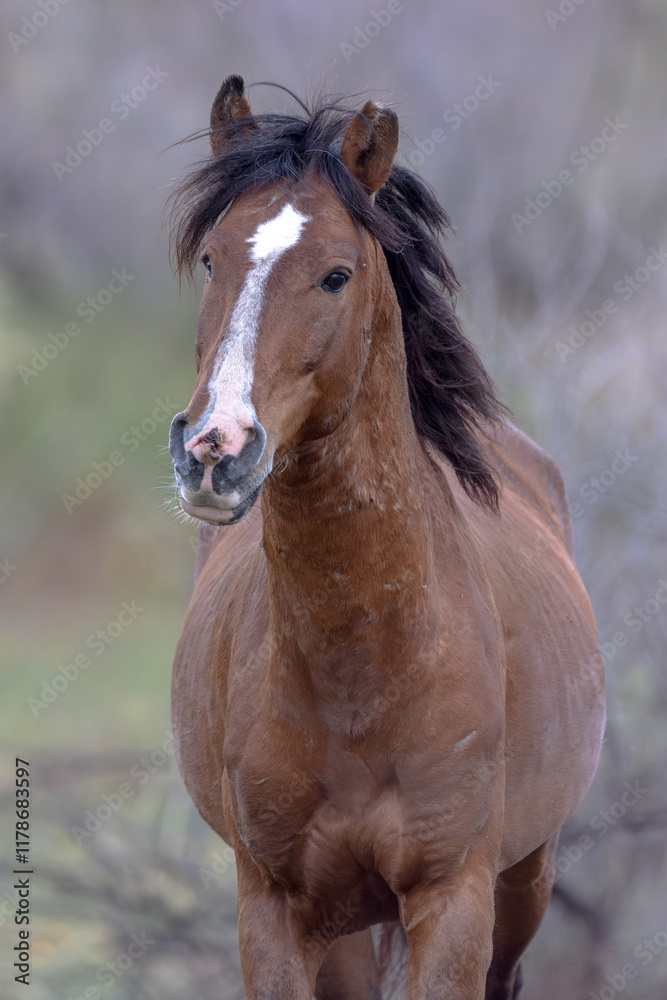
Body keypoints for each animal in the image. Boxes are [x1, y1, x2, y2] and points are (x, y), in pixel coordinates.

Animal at [167, 76, 606, 1000]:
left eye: (336, 274)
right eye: (213, 259)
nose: (215, 450)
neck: (366, 674)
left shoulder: (453, 901)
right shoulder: (276, 911)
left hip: (526, 878)